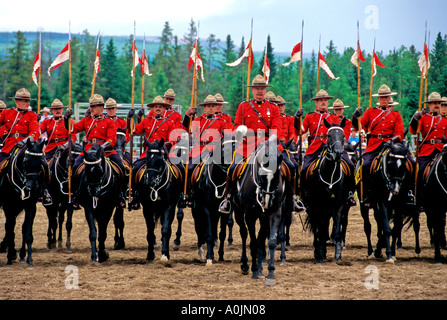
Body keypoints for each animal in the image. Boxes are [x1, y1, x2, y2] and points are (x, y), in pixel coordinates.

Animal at [191, 132, 238, 264]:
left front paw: (220, 255)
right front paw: (208, 258)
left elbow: (222, 233)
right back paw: (201, 252)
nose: (234, 167)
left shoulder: (224, 211)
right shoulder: (206, 209)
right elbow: (209, 234)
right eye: (225, 149)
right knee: (199, 228)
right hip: (196, 210)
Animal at [231, 134, 284, 284]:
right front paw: (254, 270)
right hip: (238, 212)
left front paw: (270, 273)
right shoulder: (250, 215)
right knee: (244, 233)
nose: (265, 202)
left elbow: (270, 242)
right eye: (261, 176)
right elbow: (253, 242)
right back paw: (245, 265)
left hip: (263, 217)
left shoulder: (275, 213)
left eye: (277, 177)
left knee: (261, 239)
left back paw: (260, 269)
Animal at [306, 119, 352, 264]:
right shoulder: (319, 204)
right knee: (317, 227)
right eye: (329, 135)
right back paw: (319, 251)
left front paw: (338, 255)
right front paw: (320, 254)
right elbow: (320, 230)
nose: (337, 153)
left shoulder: (338, 205)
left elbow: (336, 231)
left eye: (343, 136)